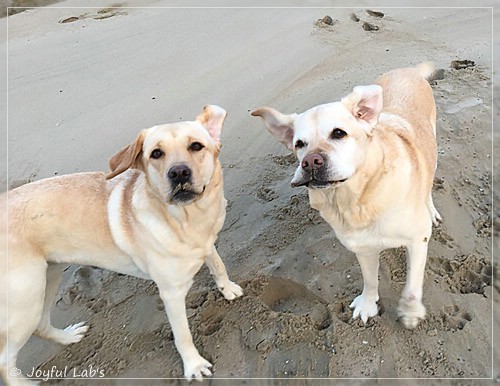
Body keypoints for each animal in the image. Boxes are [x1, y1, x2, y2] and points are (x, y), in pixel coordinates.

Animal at [0, 104, 242, 384]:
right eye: (156, 153)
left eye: (196, 146)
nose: (179, 172)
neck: (188, 219)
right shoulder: (171, 293)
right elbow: (183, 335)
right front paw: (193, 365)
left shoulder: (206, 244)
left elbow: (218, 265)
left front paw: (228, 289)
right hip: (24, 300)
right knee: (5, 360)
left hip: (47, 278)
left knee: (40, 325)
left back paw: (68, 336)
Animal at [252, 65, 440, 330]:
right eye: (299, 143)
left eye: (338, 133)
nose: (310, 161)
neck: (354, 200)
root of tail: (407, 69)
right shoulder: (362, 247)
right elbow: (370, 280)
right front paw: (368, 305)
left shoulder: (417, 240)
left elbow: (412, 286)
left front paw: (410, 312)